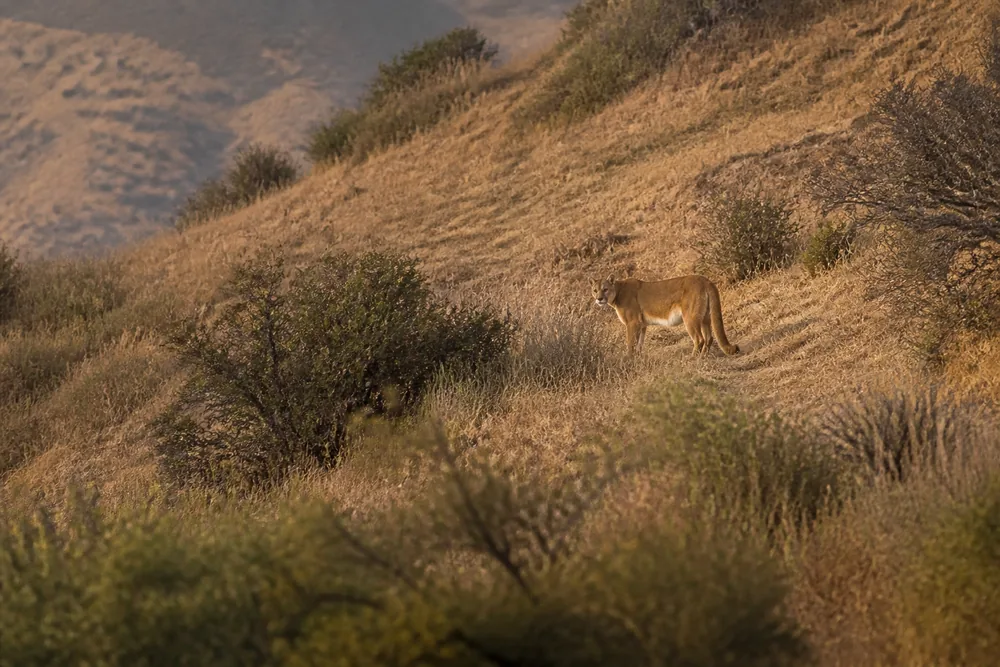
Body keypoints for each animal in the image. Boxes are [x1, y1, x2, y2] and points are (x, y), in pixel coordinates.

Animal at [591, 273, 740, 357]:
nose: (599, 299)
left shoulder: (632, 323)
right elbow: (639, 344)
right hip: (705, 318)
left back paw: (692, 358)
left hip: (690, 318)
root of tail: (706, 280)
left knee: (699, 339)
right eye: (595, 290)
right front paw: (637, 359)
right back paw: (703, 357)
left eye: (605, 289)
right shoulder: (642, 325)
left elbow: (630, 343)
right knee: (709, 338)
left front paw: (628, 360)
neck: (618, 291)